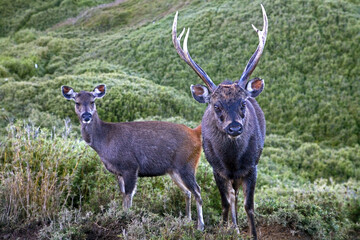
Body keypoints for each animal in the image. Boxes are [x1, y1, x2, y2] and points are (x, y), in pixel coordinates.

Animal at [60, 84, 204, 229]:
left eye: (92, 101)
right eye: (77, 102)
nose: (86, 116)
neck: (105, 141)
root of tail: (195, 133)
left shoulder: (130, 166)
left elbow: (129, 196)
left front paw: (126, 220)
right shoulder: (118, 172)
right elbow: (123, 195)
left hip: (187, 164)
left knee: (197, 190)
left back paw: (200, 226)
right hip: (173, 170)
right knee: (187, 192)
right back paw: (187, 220)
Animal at [173, 4, 268, 239]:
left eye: (243, 103)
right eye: (216, 106)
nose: (234, 127)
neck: (232, 160)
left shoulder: (252, 167)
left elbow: (249, 206)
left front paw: (253, 233)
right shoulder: (216, 169)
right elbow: (225, 203)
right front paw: (225, 228)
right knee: (231, 195)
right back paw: (233, 226)